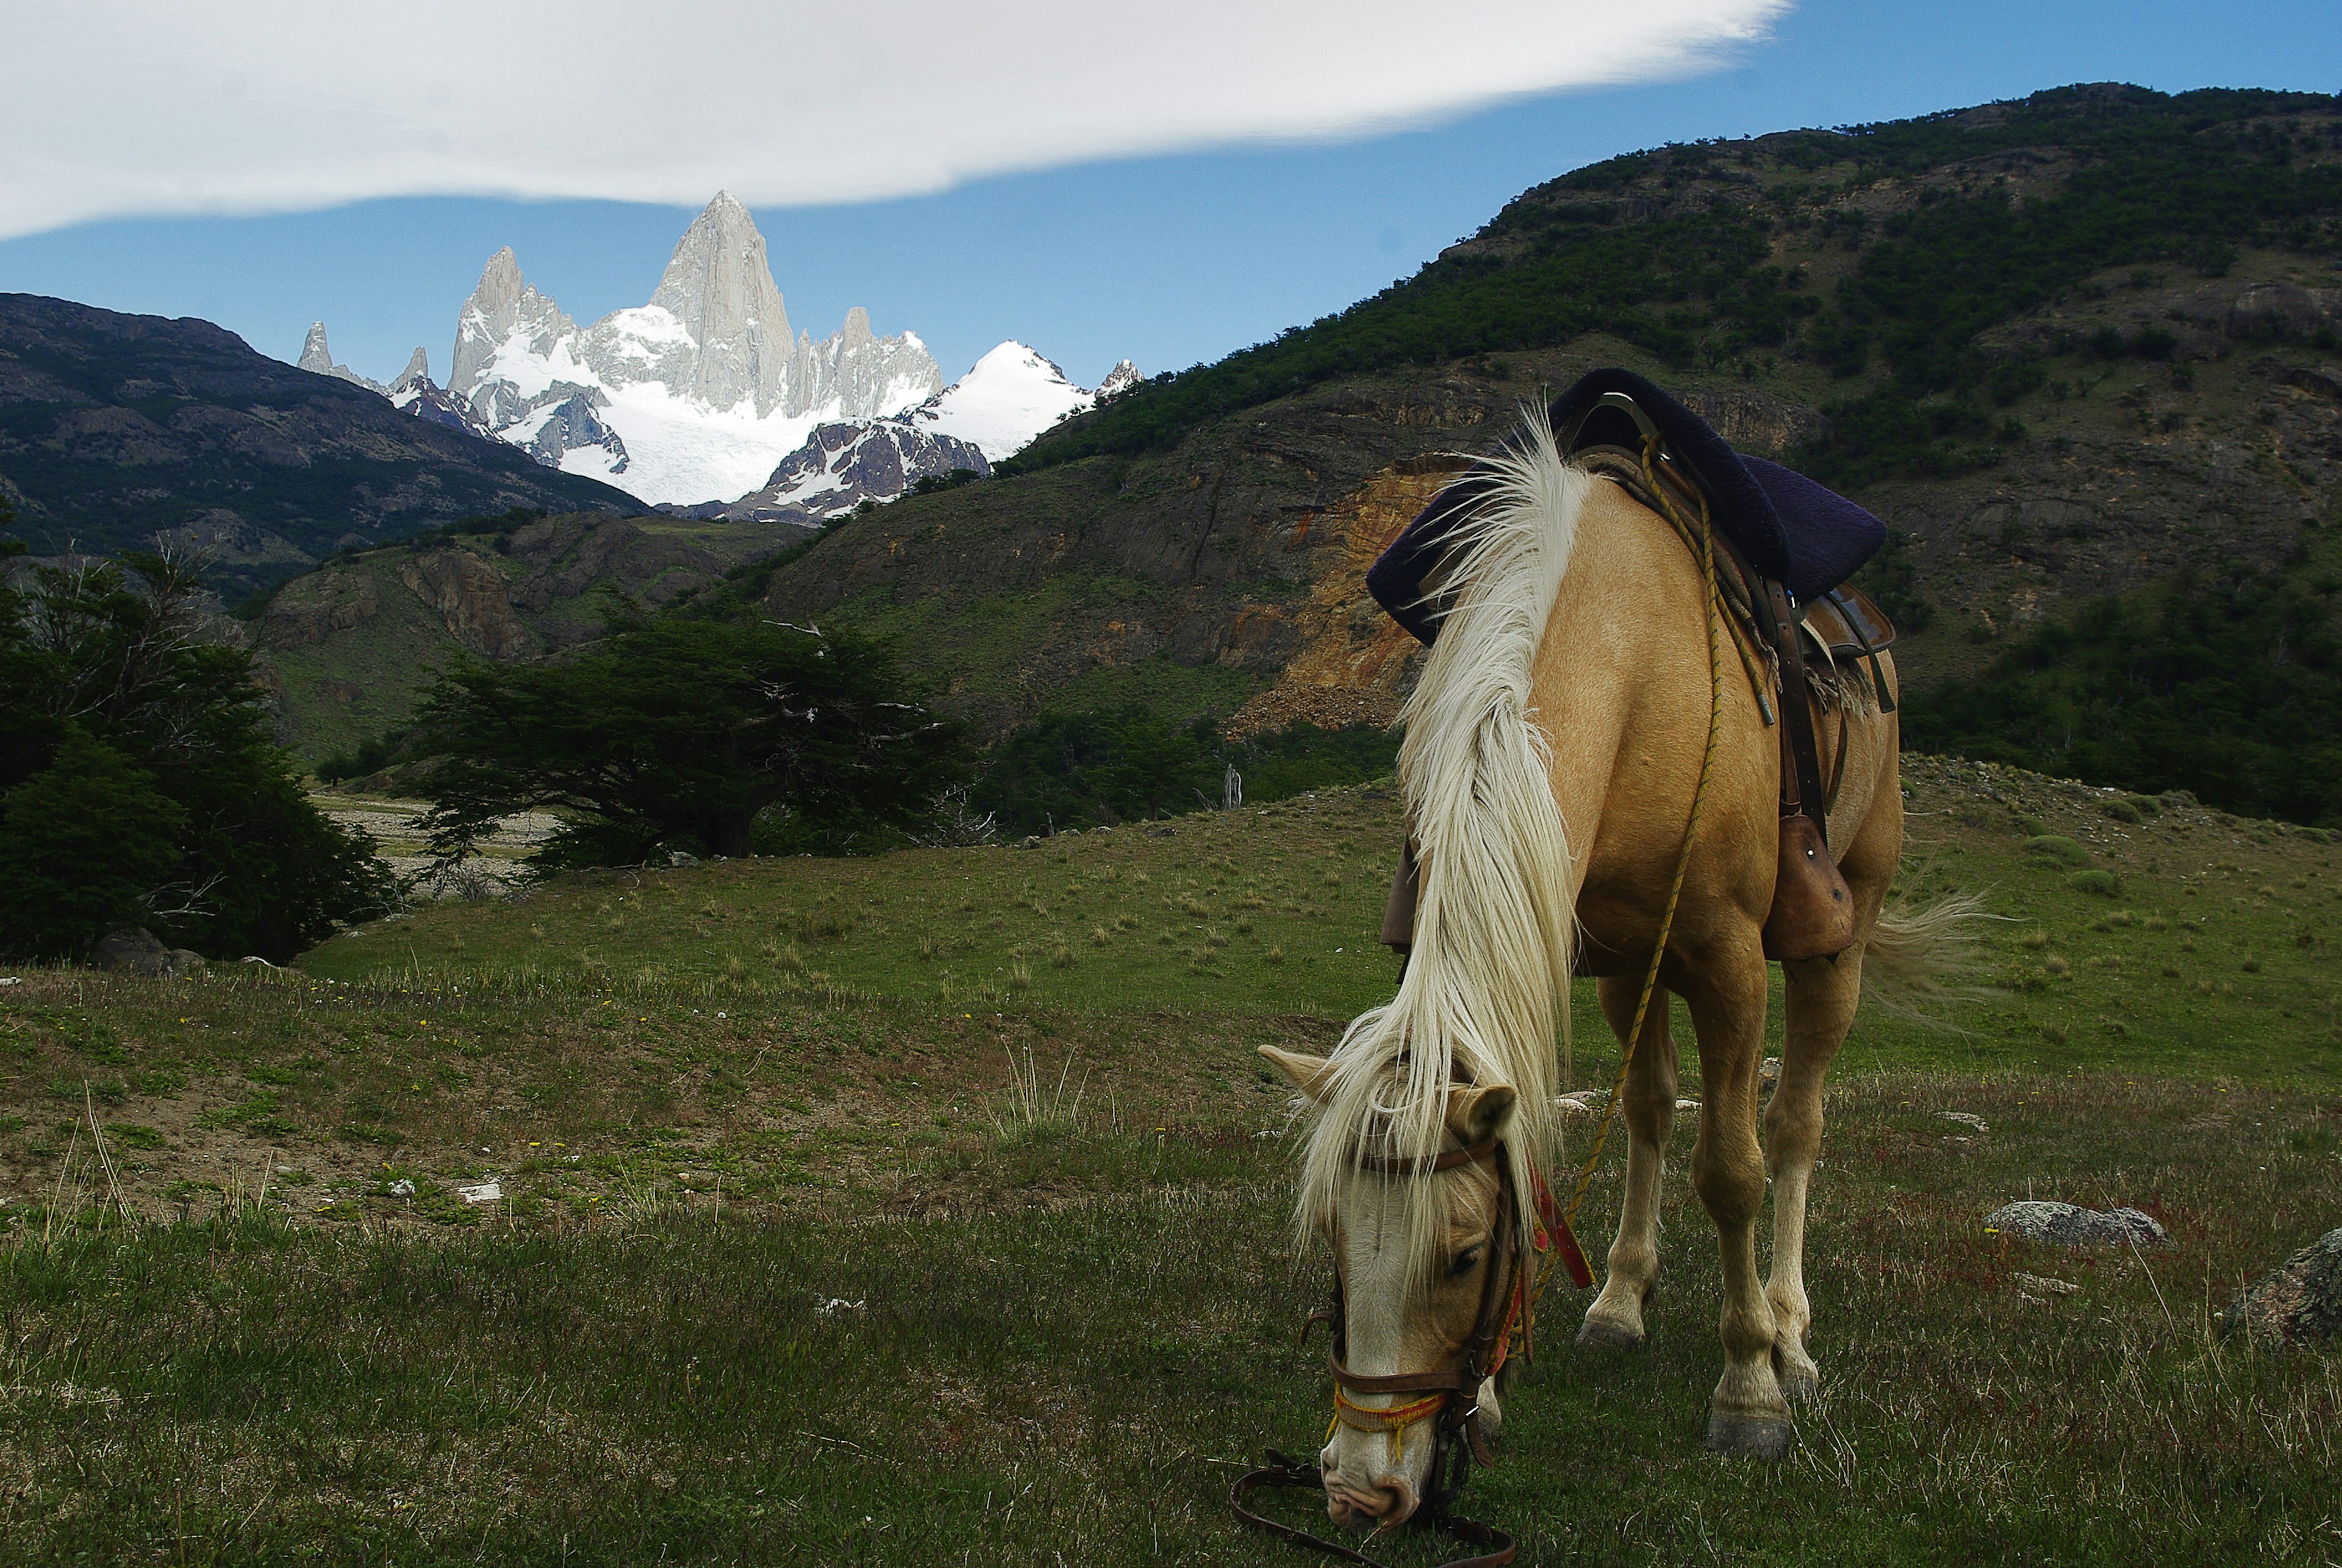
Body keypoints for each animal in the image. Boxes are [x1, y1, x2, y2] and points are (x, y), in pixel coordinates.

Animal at [1255, 404, 1967, 1535]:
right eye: (1330, 1232)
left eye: (1465, 1253)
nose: (1363, 1487)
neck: (1630, 661)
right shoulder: (1600, 945)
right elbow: (1611, 1127)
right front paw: (1506, 1385)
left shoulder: (1729, 959)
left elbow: (1732, 1169)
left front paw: (1749, 1390)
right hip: (1641, 967)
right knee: (1649, 1106)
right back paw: (1623, 1298)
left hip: (1840, 932)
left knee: (1795, 1122)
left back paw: (1790, 1329)